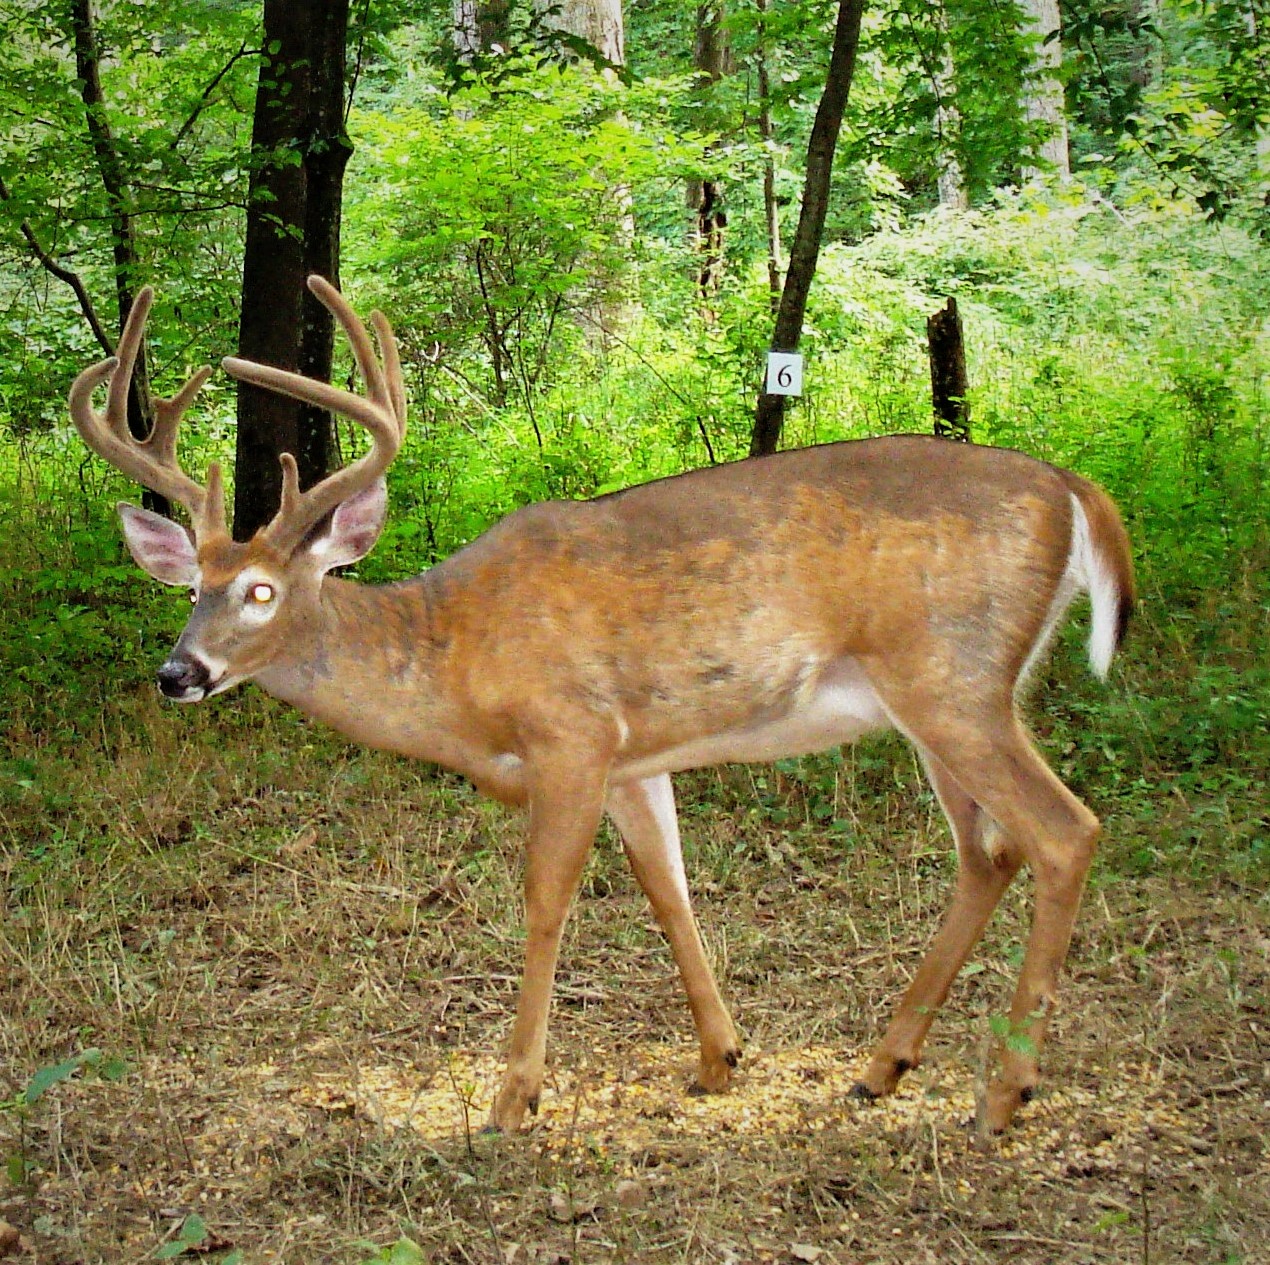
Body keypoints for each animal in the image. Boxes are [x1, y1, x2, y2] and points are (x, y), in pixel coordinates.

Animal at [69, 276, 1137, 1137]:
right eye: (190, 588)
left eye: (259, 591)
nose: (178, 672)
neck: (456, 661)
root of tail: (1074, 489)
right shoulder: (635, 757)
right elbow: (669, 889)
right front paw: (719, 1058)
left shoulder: (570, 731)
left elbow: (546, 902)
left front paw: (515, 1095)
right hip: (946, 699)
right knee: (988, 850)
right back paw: (882, 1067)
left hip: (954, 679)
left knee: (1064, 830)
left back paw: (1001, 1093)